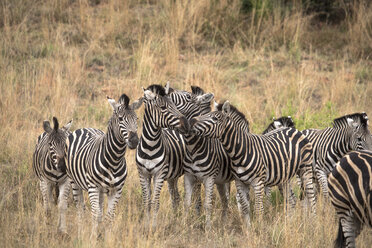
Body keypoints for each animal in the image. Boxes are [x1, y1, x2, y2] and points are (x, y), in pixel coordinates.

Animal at [64, 94, 142, 237]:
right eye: (120, 119)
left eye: (137, 118)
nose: (134, 141)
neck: (114, 160)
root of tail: (85, 128)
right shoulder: (93, 187)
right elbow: (95, 214)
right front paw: (93, 237)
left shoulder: (117, 189)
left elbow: (109, 216)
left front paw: (108, 237)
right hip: (74, 181)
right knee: (80, 208)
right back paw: (80, 232)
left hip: (100, 190)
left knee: (99, 210)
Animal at [136, 84, 190, 230]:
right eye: (163, 108)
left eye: (174, 105)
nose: (186, 124)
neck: (150, 146)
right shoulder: (143, 174)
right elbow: (146, 202)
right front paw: (146, 226)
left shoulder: (159, 174)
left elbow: (155, 202)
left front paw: (153, 227)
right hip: (172, 177)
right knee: (176, 198)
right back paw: (175, 219)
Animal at [169, 85, 232, 229]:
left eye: (187, 97)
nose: (166, 91)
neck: (193, 148)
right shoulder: (189, 176)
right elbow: (187, 202)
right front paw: (184, 225)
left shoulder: (209, 178)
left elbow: (208, 205)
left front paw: (208, 228)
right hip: (219, 181)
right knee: (224, 201)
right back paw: (223, 222)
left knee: (228, 198)